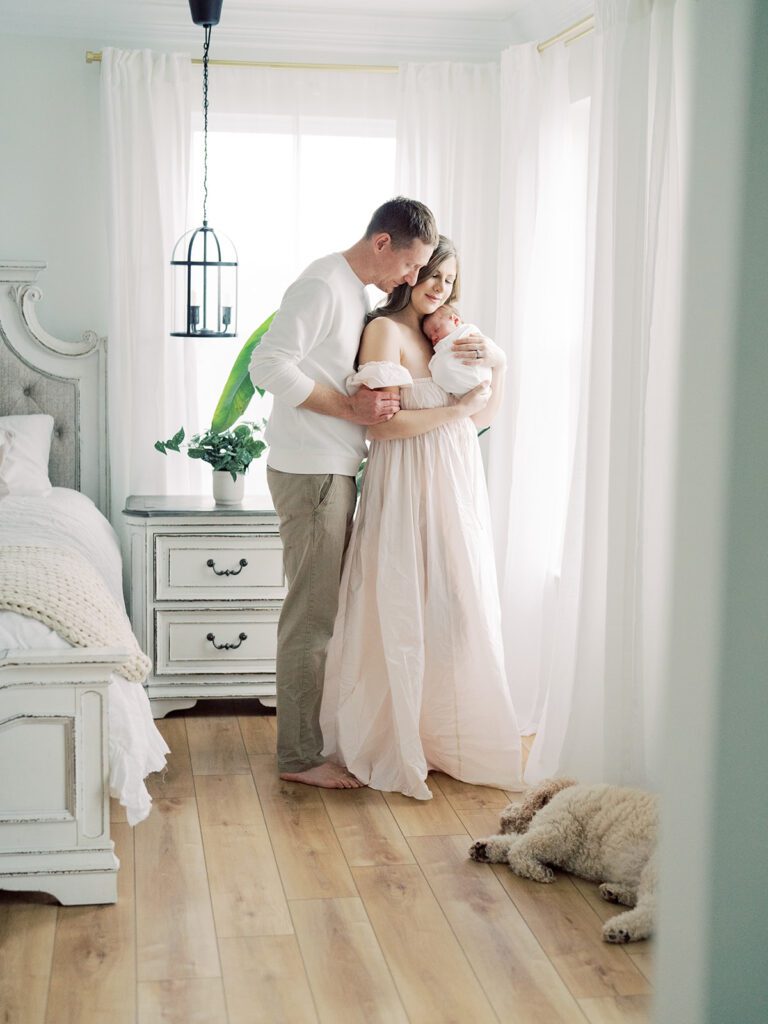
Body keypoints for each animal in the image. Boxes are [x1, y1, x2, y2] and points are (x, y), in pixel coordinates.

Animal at [473, 774, 659, 942]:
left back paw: (621, 929)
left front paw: (538, 872)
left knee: (651, 910)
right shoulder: (548, 835)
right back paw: (615, 893)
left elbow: (516, 850)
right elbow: (511, 843)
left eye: (525, 798)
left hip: (654, 870)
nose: (502, 816)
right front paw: (484, 848)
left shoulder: (559, 831)